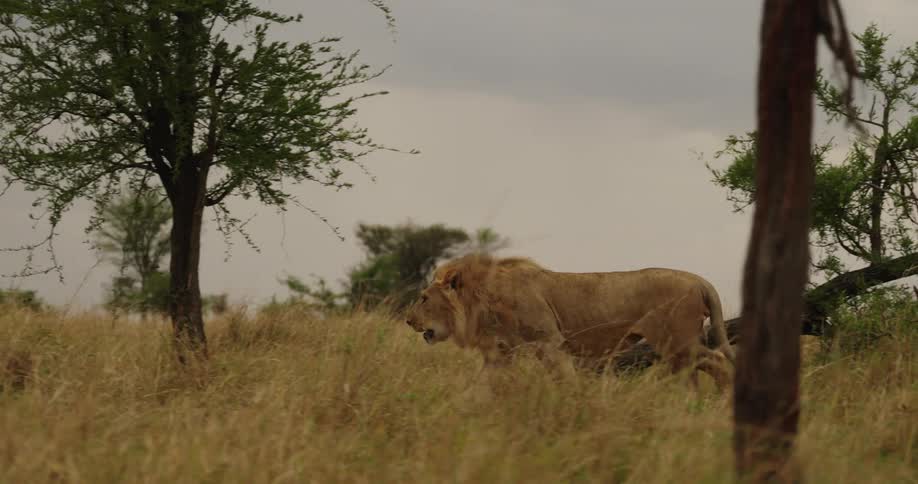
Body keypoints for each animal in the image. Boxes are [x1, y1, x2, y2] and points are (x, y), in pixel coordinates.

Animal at [404, 253, 735, 388]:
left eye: (423, 298)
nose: (408, 320)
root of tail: (699, 280)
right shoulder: (501, 353)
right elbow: (481, 385)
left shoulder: (549, 342)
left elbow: (564, 378)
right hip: (677, 350)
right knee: (696, 375)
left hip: (677, 342)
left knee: (719, 361)